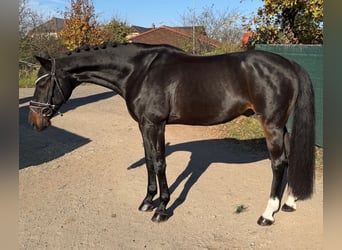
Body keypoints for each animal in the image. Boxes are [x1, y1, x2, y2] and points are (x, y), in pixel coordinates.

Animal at [28, 42, 314, 226]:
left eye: (43, 83)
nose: (34, 122)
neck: (139, 70)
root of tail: (289, 63)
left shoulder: (156, 124)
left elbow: (160, 163)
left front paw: (162, 209)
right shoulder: (144, 125)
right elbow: (149, 161)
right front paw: (147, 201)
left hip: (271, 124)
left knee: (278, 163)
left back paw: (267, 214)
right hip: (280, 126)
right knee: (290, 157)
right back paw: (289, 203)